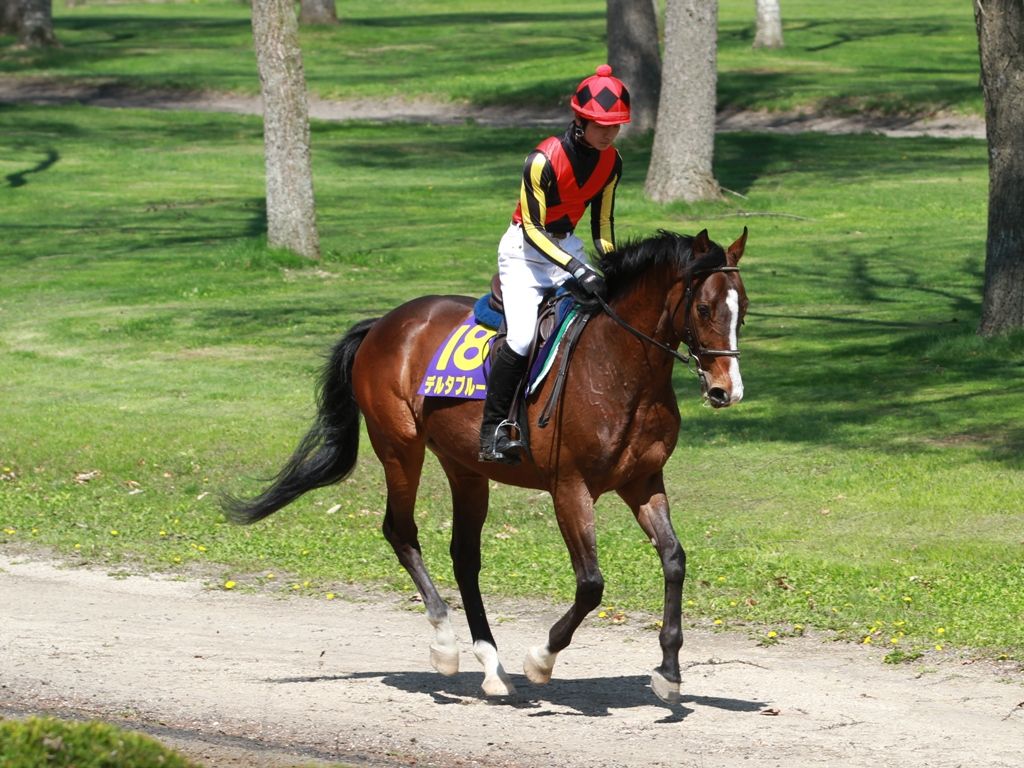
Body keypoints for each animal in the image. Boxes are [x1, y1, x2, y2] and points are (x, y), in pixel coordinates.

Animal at [224, 227, 748, 703]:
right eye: (704, 309)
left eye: (742, 306)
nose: (727, 390)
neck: (620, 367)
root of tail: (384, 323)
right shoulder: (570, 488)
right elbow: (591, 584)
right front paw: (541, 658)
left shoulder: (642, 481)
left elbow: (674, 559)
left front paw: (669, 669)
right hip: (400, 448)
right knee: (400, 531)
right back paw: (445, 644)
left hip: (466, 468)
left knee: (464, 556)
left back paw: (492, 665)